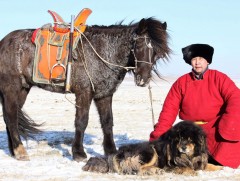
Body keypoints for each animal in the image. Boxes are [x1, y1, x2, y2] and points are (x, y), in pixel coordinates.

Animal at [0, 17, 171, 161]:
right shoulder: (84, 93)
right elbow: (81, 121)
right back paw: (20, 151)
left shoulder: (104, 95)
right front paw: (79, 153)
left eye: (157, 52)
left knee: (12, 116)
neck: (103, 51)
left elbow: (107, 122)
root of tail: (3, 42)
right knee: (11, 116)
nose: (143, 79)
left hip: (23, 89)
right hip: (11, 88)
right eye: (139, 45)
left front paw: (111, 151)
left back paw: (14, 151)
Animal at [83, 121, 223, 175]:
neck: (188, 155)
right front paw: (191, 172)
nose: (183, 147)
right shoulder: (173, 165)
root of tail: (117, 153)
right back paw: (154, 170)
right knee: (137, 169)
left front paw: (221, 168)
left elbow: (209, 166)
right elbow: (186, 168)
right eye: (179, 139)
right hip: (150, 151)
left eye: (189, 139)